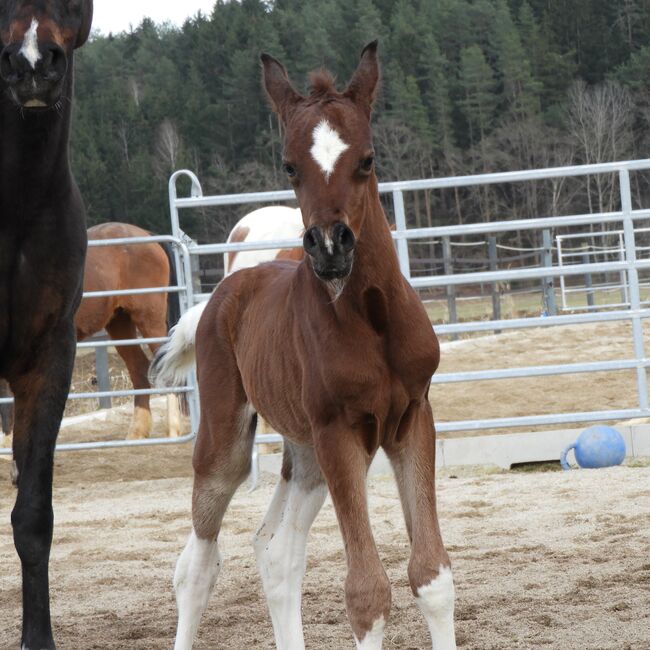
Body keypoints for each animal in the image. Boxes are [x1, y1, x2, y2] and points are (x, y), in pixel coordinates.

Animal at [0, 220, 182, 442]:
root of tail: (147, 236)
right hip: (119, 323)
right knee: (139, 369)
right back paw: (136, 433)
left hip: (149, 319)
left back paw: (172, 430)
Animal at [153, 43, 456, 644]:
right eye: (290, 167)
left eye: (367, 158)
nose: (330, 246)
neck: (373, 321)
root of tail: (221, 295)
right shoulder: (340, 433)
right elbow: (366, 592)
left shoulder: (412, 420)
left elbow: (431, 575)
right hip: (230, 443)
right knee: (198, 564)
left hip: (306, 453)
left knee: (275, 550)